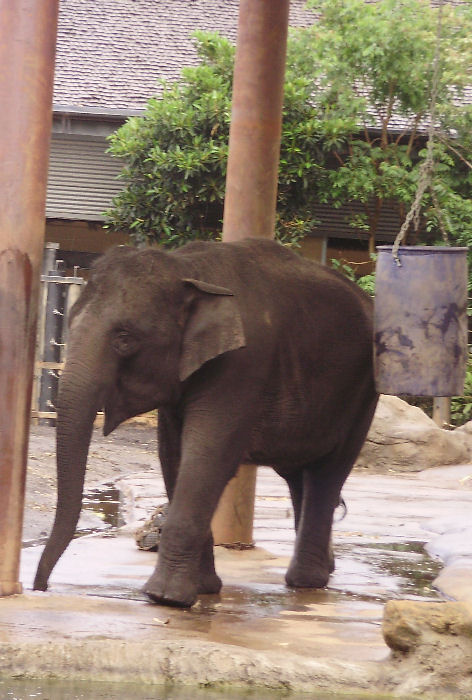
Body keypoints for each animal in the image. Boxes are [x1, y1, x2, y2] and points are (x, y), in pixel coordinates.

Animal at [33, 238, 378, 607]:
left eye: (124, 339)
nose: (40, 587)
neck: (188, 270)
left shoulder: (241, 365)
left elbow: (207, 456)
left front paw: (166, 597)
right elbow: (174, 456)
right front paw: (204, 589)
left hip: (361, 390)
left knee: (328, 471)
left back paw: (306, 582)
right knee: (301, 475)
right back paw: (322, 571)